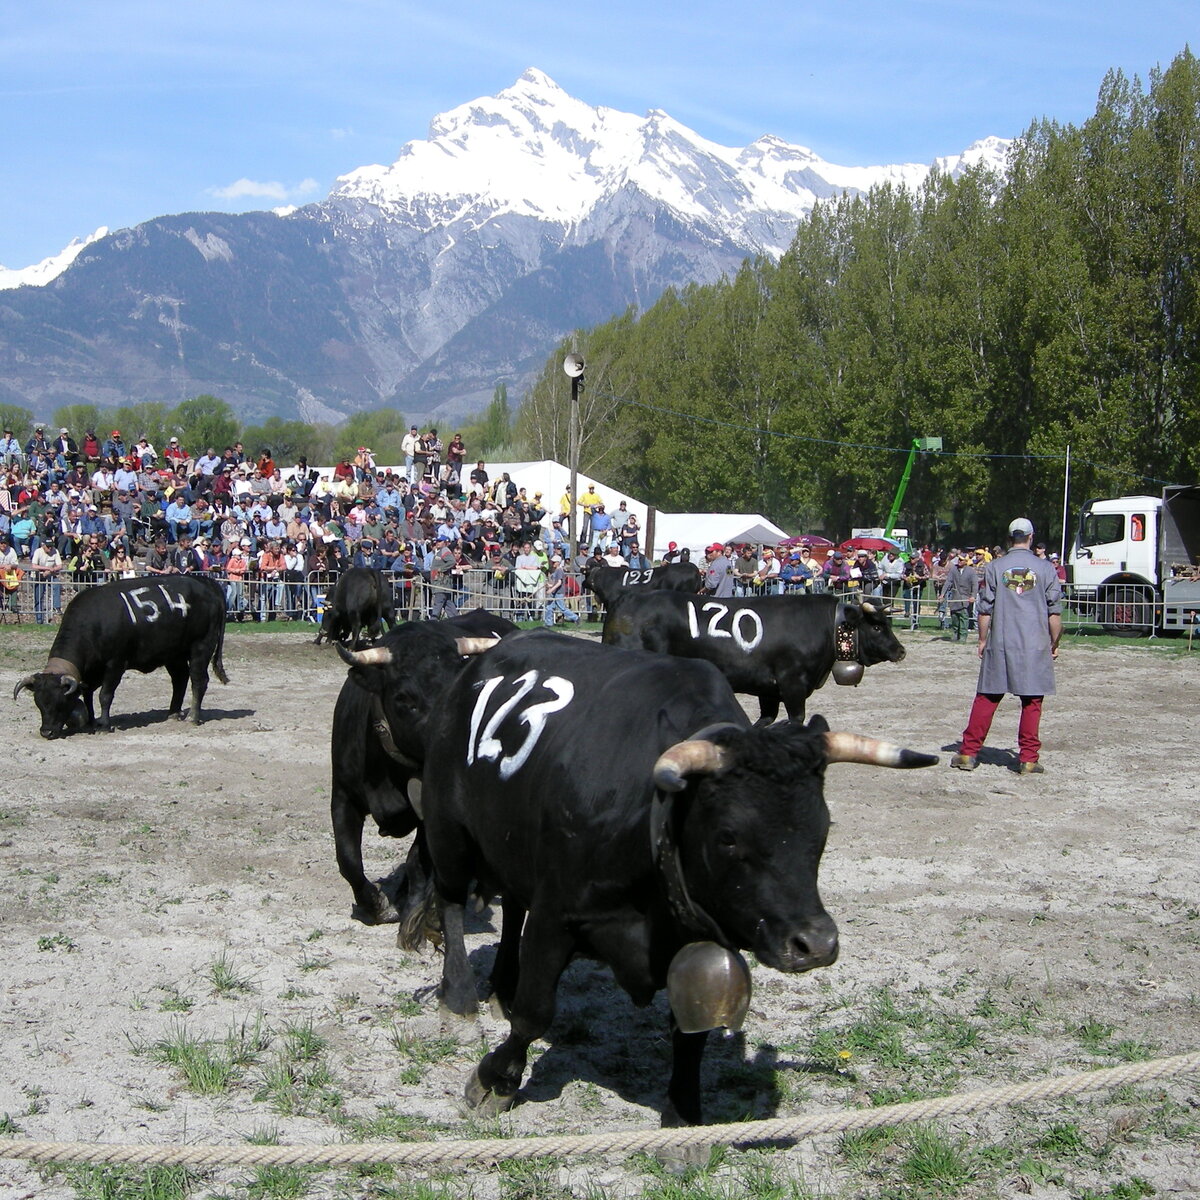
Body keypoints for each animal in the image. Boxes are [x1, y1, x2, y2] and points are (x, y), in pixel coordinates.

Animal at [14, 576, 228, 734]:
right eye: (38, 703)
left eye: (60, 702)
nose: (46, 732)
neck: (95, 622)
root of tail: (205, 583)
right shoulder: (91, 672)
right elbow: (88, 694)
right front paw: (92, 721)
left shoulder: (115, 664)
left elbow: (105, 695)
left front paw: (104, 725)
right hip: (174, 654)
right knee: (180, 679)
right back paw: (173, 714)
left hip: (201, 647)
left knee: (198, 680)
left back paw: (193, 716)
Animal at [331, 609, 513, 926]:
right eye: (404, 697)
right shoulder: (342, 795)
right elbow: (348, 859)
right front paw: (375, 905)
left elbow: (418, 862)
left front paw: (414, 909)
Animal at [412, 633, 936, 1128]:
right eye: (728, 835)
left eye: (823, 827)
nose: (815, 944)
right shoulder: (556, 913)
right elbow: (535, 1011)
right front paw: (493, 1080)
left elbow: (693, 1031)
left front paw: (683, 1113)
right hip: (448, 829)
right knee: (452, 902)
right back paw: (460, 999)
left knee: (510, 905)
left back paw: (502, 986)